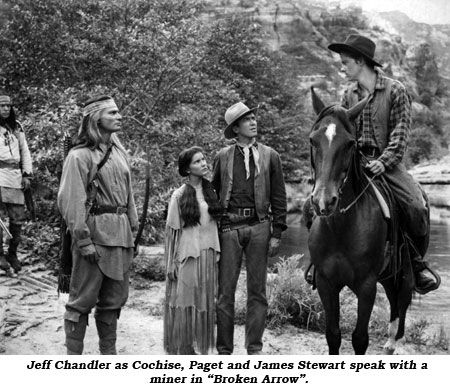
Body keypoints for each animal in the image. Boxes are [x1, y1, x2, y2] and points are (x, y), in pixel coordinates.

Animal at [306, 86, 414, 354]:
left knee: (401, 301)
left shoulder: (367, 286)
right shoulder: (326, 282)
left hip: (401, 272)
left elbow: (360, 338)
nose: (323, 202)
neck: (341, 228)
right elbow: (333, 335)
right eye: (313, 140)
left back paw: (393, 342)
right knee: (394, 299)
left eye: (350, 143)